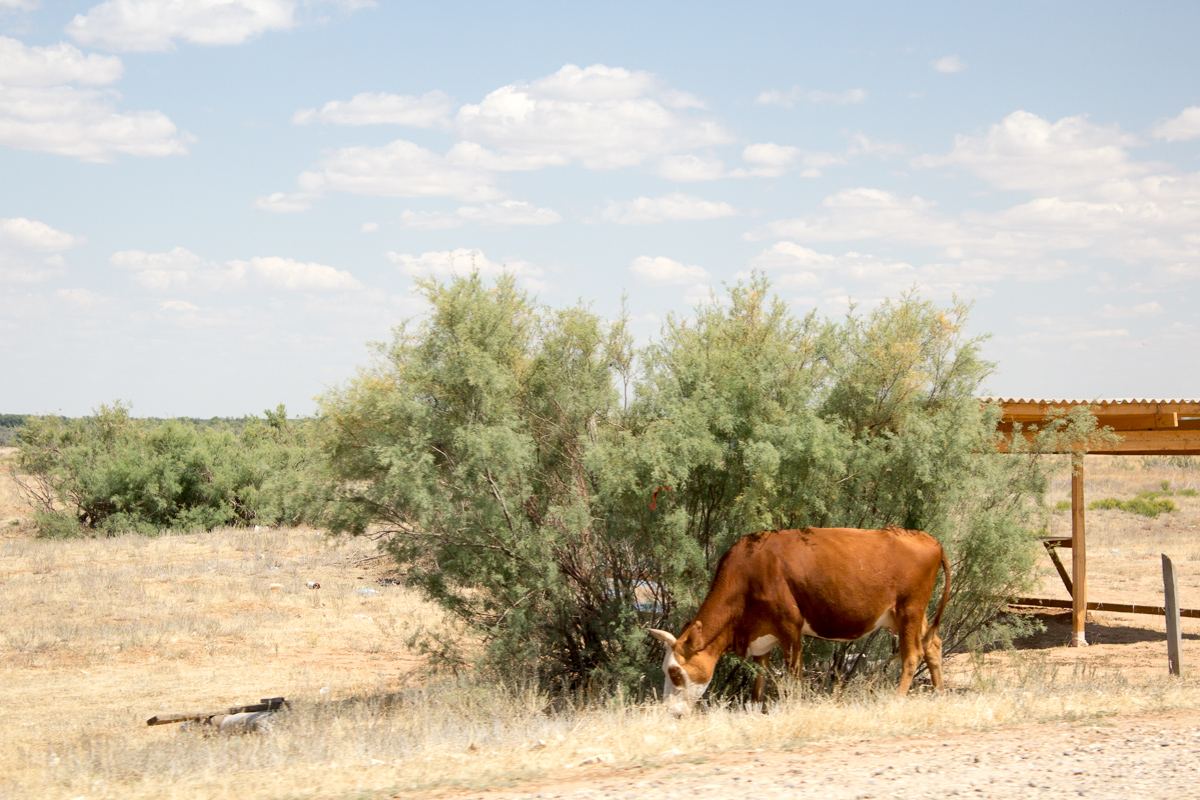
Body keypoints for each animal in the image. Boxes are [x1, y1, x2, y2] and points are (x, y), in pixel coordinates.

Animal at [648, 527, 951, 714]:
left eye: (675, 672)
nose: (670, 712)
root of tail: (927, 538)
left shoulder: (789, 627)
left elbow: (794, 675)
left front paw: (794, 706)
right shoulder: (763, 635)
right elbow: (759, 680)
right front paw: (756, 710)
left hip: (910, 609)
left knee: (912, 655)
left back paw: (897, 700)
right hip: (909, 615)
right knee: (933, 645)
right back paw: (939, 695)